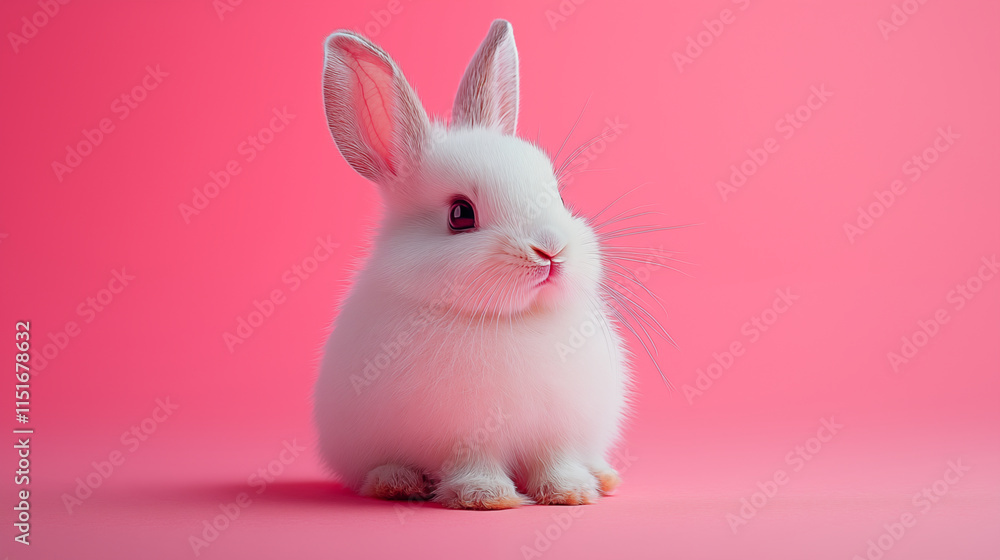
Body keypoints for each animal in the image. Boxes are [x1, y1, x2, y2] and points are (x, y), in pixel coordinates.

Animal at [314, 19, 630, 510]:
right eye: (461, 214)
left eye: (558, 195)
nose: (550, 251)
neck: (514, 320)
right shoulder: (462, 437)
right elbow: (474, 464)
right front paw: (486, 498)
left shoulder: (557, 431)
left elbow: (556, 460)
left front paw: (571, 493)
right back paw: (396, 483)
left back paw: (603, 476)